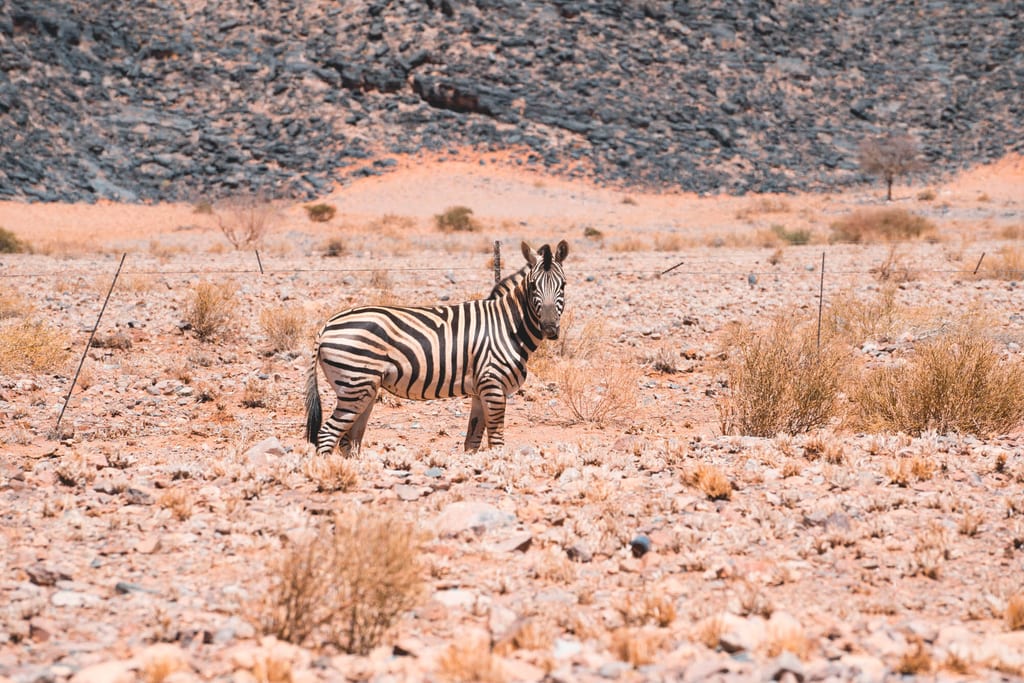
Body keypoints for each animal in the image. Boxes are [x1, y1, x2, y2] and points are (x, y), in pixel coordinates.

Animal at [305, 240, 569, 455]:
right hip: (355, 385)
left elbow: (472, 441)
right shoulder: (493, 385)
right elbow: (496, 441)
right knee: (328, 435)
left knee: (349, 441)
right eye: (533, 286)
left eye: (563, 285)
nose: (549, 329)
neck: (507, 325)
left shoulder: (480, 390)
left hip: (364, 388)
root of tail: (326, 325)